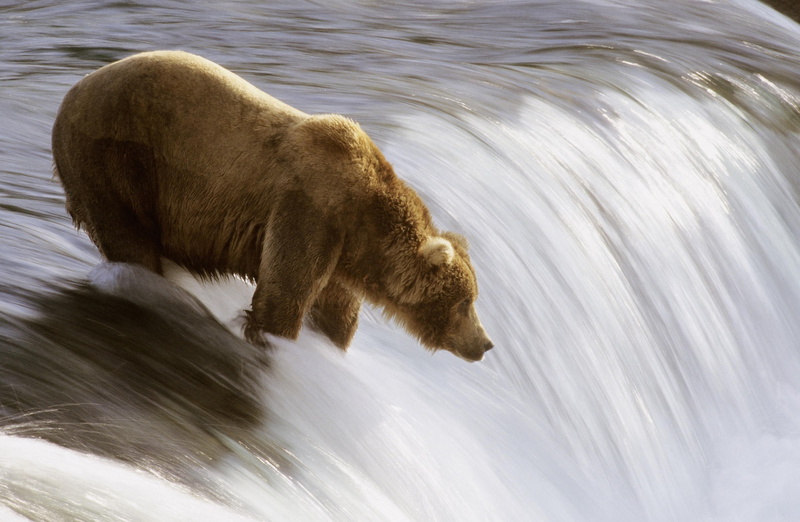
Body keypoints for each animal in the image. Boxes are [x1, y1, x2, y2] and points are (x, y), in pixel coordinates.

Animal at [51, 50, 493, 362]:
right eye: (465, 302)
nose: (485, 343)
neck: (364, 221)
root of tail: (72, 91)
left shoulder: (340, 252)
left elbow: (335, 313)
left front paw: (329, 344)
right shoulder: (310, 210)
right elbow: (284, 294)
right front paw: (274, 341)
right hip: (116, 158)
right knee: (128, 238)